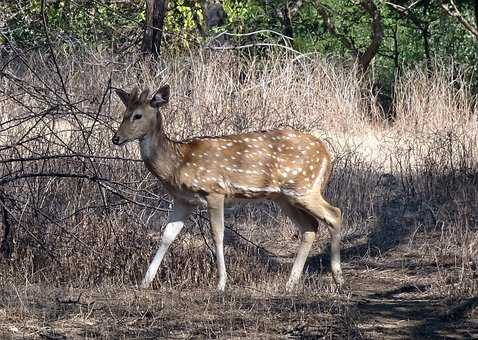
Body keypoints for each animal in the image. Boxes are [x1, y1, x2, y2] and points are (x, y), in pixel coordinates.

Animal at [112, 85, 344, 292]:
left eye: (138, 115)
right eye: (124, 114)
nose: (116, 138)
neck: (177, 163)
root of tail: (327, 154)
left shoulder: (214, 190)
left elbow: (218, 234)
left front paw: (221, 283)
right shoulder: (184, 200)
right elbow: (167, 235)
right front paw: (145, 281)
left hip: (304, 187)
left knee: (334, 214)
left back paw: (337, 277)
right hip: (283, 196)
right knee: (310, 226)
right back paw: (291, 283)